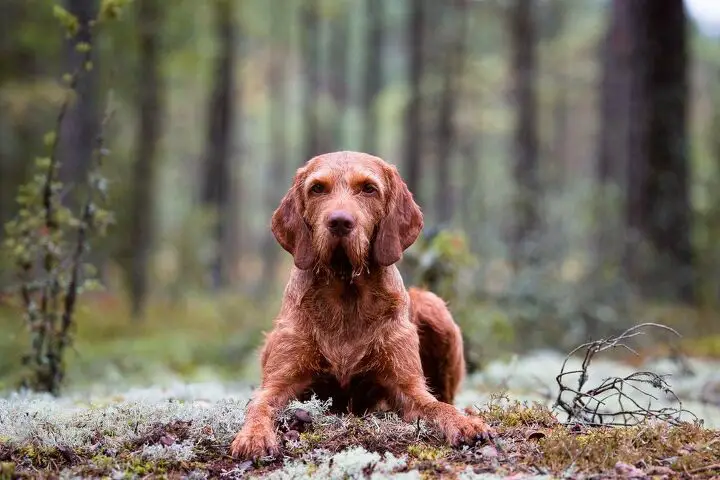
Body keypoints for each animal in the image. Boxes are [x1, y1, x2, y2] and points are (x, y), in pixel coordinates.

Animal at [232, 152, 496, 460]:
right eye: (317, 188)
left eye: (369, 188)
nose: (340, 222)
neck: (346, 292)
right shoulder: (280, 382)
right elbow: (259, 405)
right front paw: (253, 435)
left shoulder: (407, 387)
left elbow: (436, 405)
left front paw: (464, 423)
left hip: (433, 307)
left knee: (448, 396)